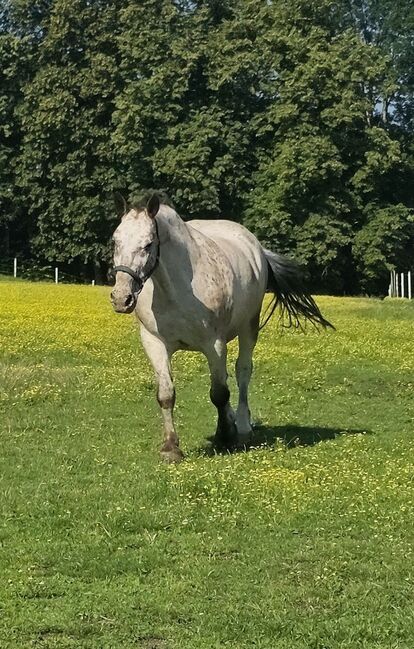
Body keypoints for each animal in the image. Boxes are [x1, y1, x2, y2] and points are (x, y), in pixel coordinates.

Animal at [110, 194, 333, 463]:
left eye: (148, 244)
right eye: (115, 241)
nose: (121, 298)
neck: (176, 289)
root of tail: (256, 247)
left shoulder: (213, 344)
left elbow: (218, 393)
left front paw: (225, 436)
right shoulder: (154, 342)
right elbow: (166, 394)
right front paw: (171, 448)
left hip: (248, 329)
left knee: (242, 372)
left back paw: (243, 428)